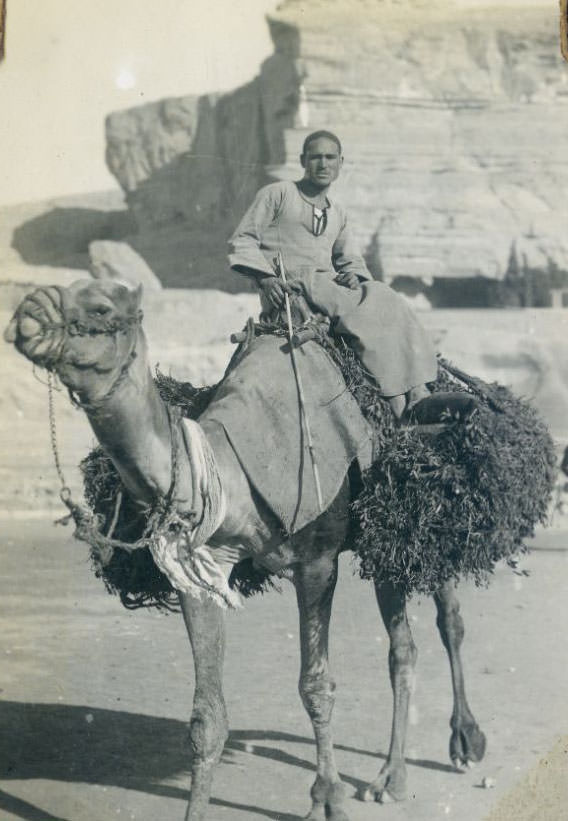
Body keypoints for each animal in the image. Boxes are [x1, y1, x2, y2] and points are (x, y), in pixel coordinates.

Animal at [4, 278, 486, 820]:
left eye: (101, 306)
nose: (28, 311)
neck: (231, 472)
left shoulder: (317, 562)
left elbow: (316, 685)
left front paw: (327, 798)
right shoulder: (198, 570)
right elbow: (206, 719)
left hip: (412, 519)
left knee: (443, 622)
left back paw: (448, 750)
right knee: (404, 644)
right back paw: (398, 771)